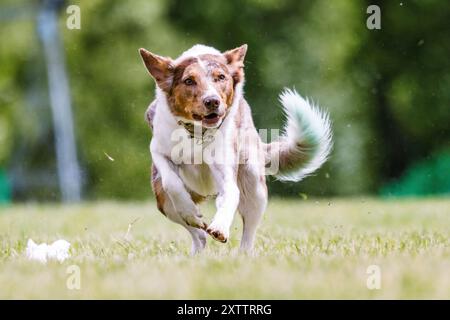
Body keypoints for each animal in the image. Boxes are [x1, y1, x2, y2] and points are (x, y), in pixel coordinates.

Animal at [139, 43, 332, 254]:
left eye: (221, 77)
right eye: (189, 80)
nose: (212, 101)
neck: (198, 135)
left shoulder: (225, 169)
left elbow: (232, 194)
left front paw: (220, 228)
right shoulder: (158, 150)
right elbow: (172, 183)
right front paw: (190, 212)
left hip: (254, 183)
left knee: (248, 229)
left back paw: (242, 253)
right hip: (164, 203)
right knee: (197, 233)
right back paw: (196, 241)